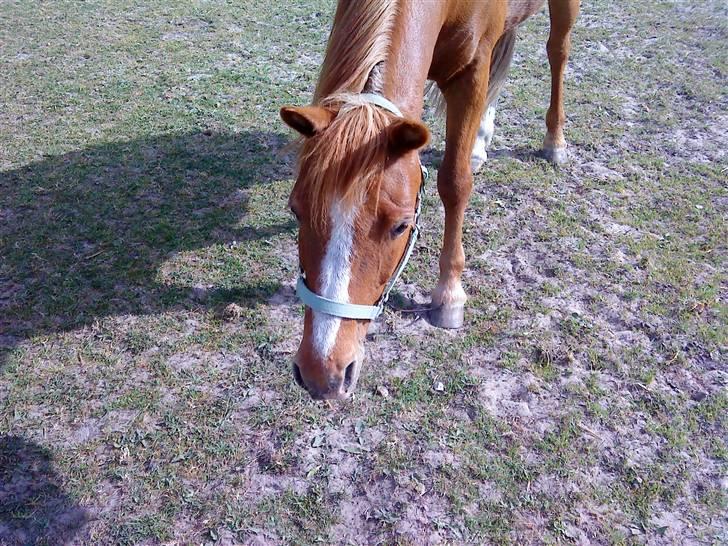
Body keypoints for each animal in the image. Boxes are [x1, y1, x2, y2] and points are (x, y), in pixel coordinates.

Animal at [278, 1, 580, 400]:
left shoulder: (470, 73)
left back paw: (554, 141)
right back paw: (480, 143)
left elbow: (454, 182)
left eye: (401, 226)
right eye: (296, 211)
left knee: (557, 50)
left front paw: (449, 295)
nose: (321, 373)